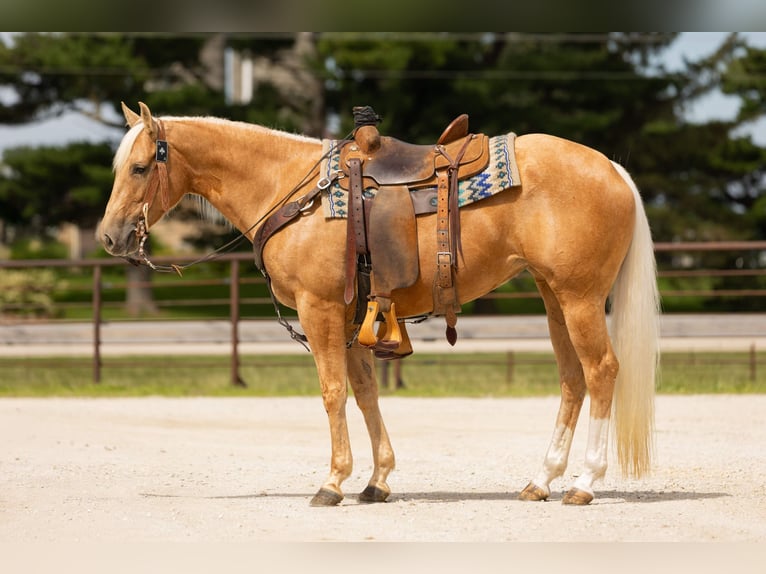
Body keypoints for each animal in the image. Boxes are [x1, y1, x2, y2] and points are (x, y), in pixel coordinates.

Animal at [99, 102, 660, 506]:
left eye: (140, 167)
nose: (109, 237)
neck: (290, 189)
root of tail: (611, 167)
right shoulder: (351, 318)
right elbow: (367, 392)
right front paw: (377, 480)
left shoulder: (320, 309)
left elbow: (332, 393)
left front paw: (332, 482)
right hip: (552, 296)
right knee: (572, 378)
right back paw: (541, 480)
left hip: (580, 298)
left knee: (602, 371)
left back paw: (584, 483)